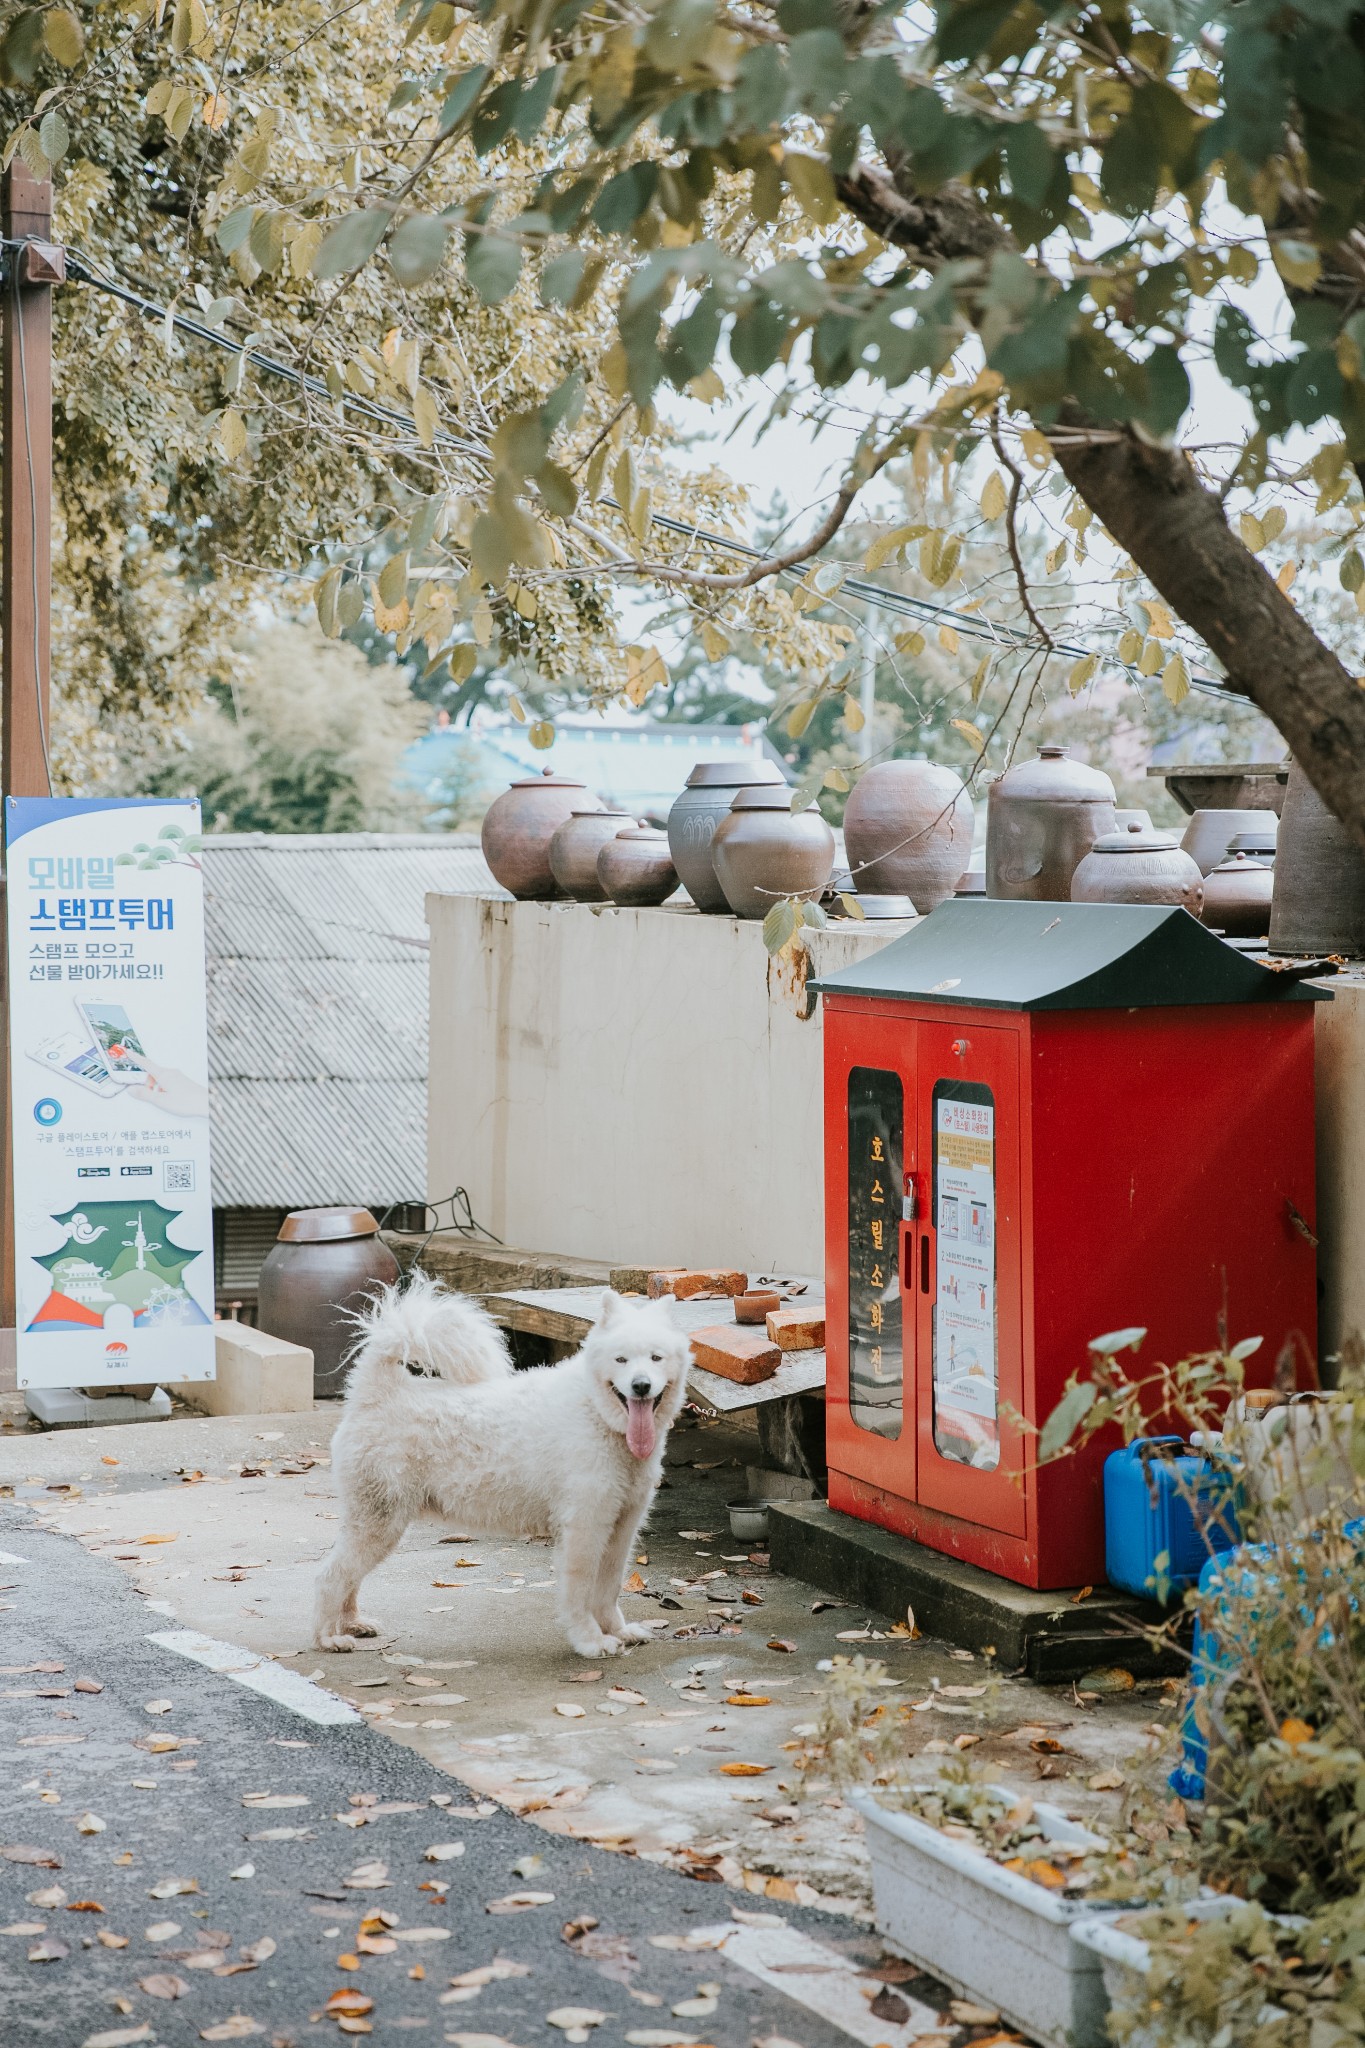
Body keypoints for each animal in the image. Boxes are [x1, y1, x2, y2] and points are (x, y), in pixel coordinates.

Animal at [315, 1277, 687, 1662]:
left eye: (656, 1357)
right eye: (621, 1359)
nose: (640, 1386)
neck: (596, 1412)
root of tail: (375, 1393)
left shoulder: (622, 1525)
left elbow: (609, 1588)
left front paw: (617, 1631)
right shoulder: (584, 1527)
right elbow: (580, 1592)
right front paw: (590, 1641)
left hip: (376, 1522)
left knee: (348, 1576)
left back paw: (353, 1624)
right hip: (379, 1520)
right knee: (331, 1575)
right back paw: (329, 1638)